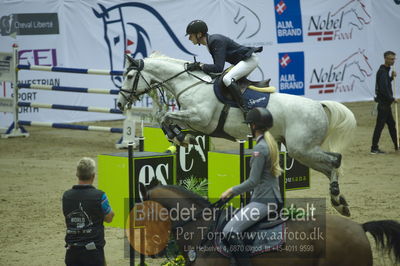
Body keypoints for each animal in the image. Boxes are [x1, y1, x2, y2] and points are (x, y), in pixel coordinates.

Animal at [118, 52, 356, 216]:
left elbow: (166, 116)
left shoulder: (200, 118)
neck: (190, 84)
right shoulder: (196, 122)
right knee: (329, 167)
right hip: (302, 151)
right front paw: (181, 138)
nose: (120, 103)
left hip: (302, 149)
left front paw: (180, 137)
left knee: (335, 160)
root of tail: (319, 105)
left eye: (129, 76)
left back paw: (338, 198)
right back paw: (339, 202)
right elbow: (164, 119)